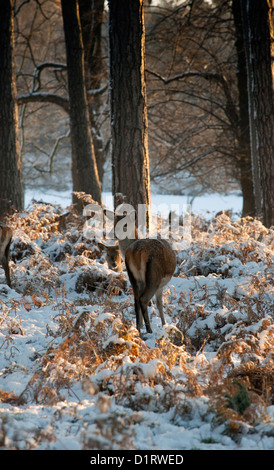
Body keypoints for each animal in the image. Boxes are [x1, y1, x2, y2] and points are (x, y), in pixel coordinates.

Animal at [99, 206, 177, 334]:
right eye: (114, 223)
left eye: (125, 224)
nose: (112, 234)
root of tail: (137, 251)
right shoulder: (161, 284)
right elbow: (159, 303)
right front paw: (164, 325)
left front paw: (141, 325)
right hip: (154, 276)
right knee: (143, 299)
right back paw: (149, 330)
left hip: (132, 276)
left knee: (136, 301)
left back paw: (138, 329)